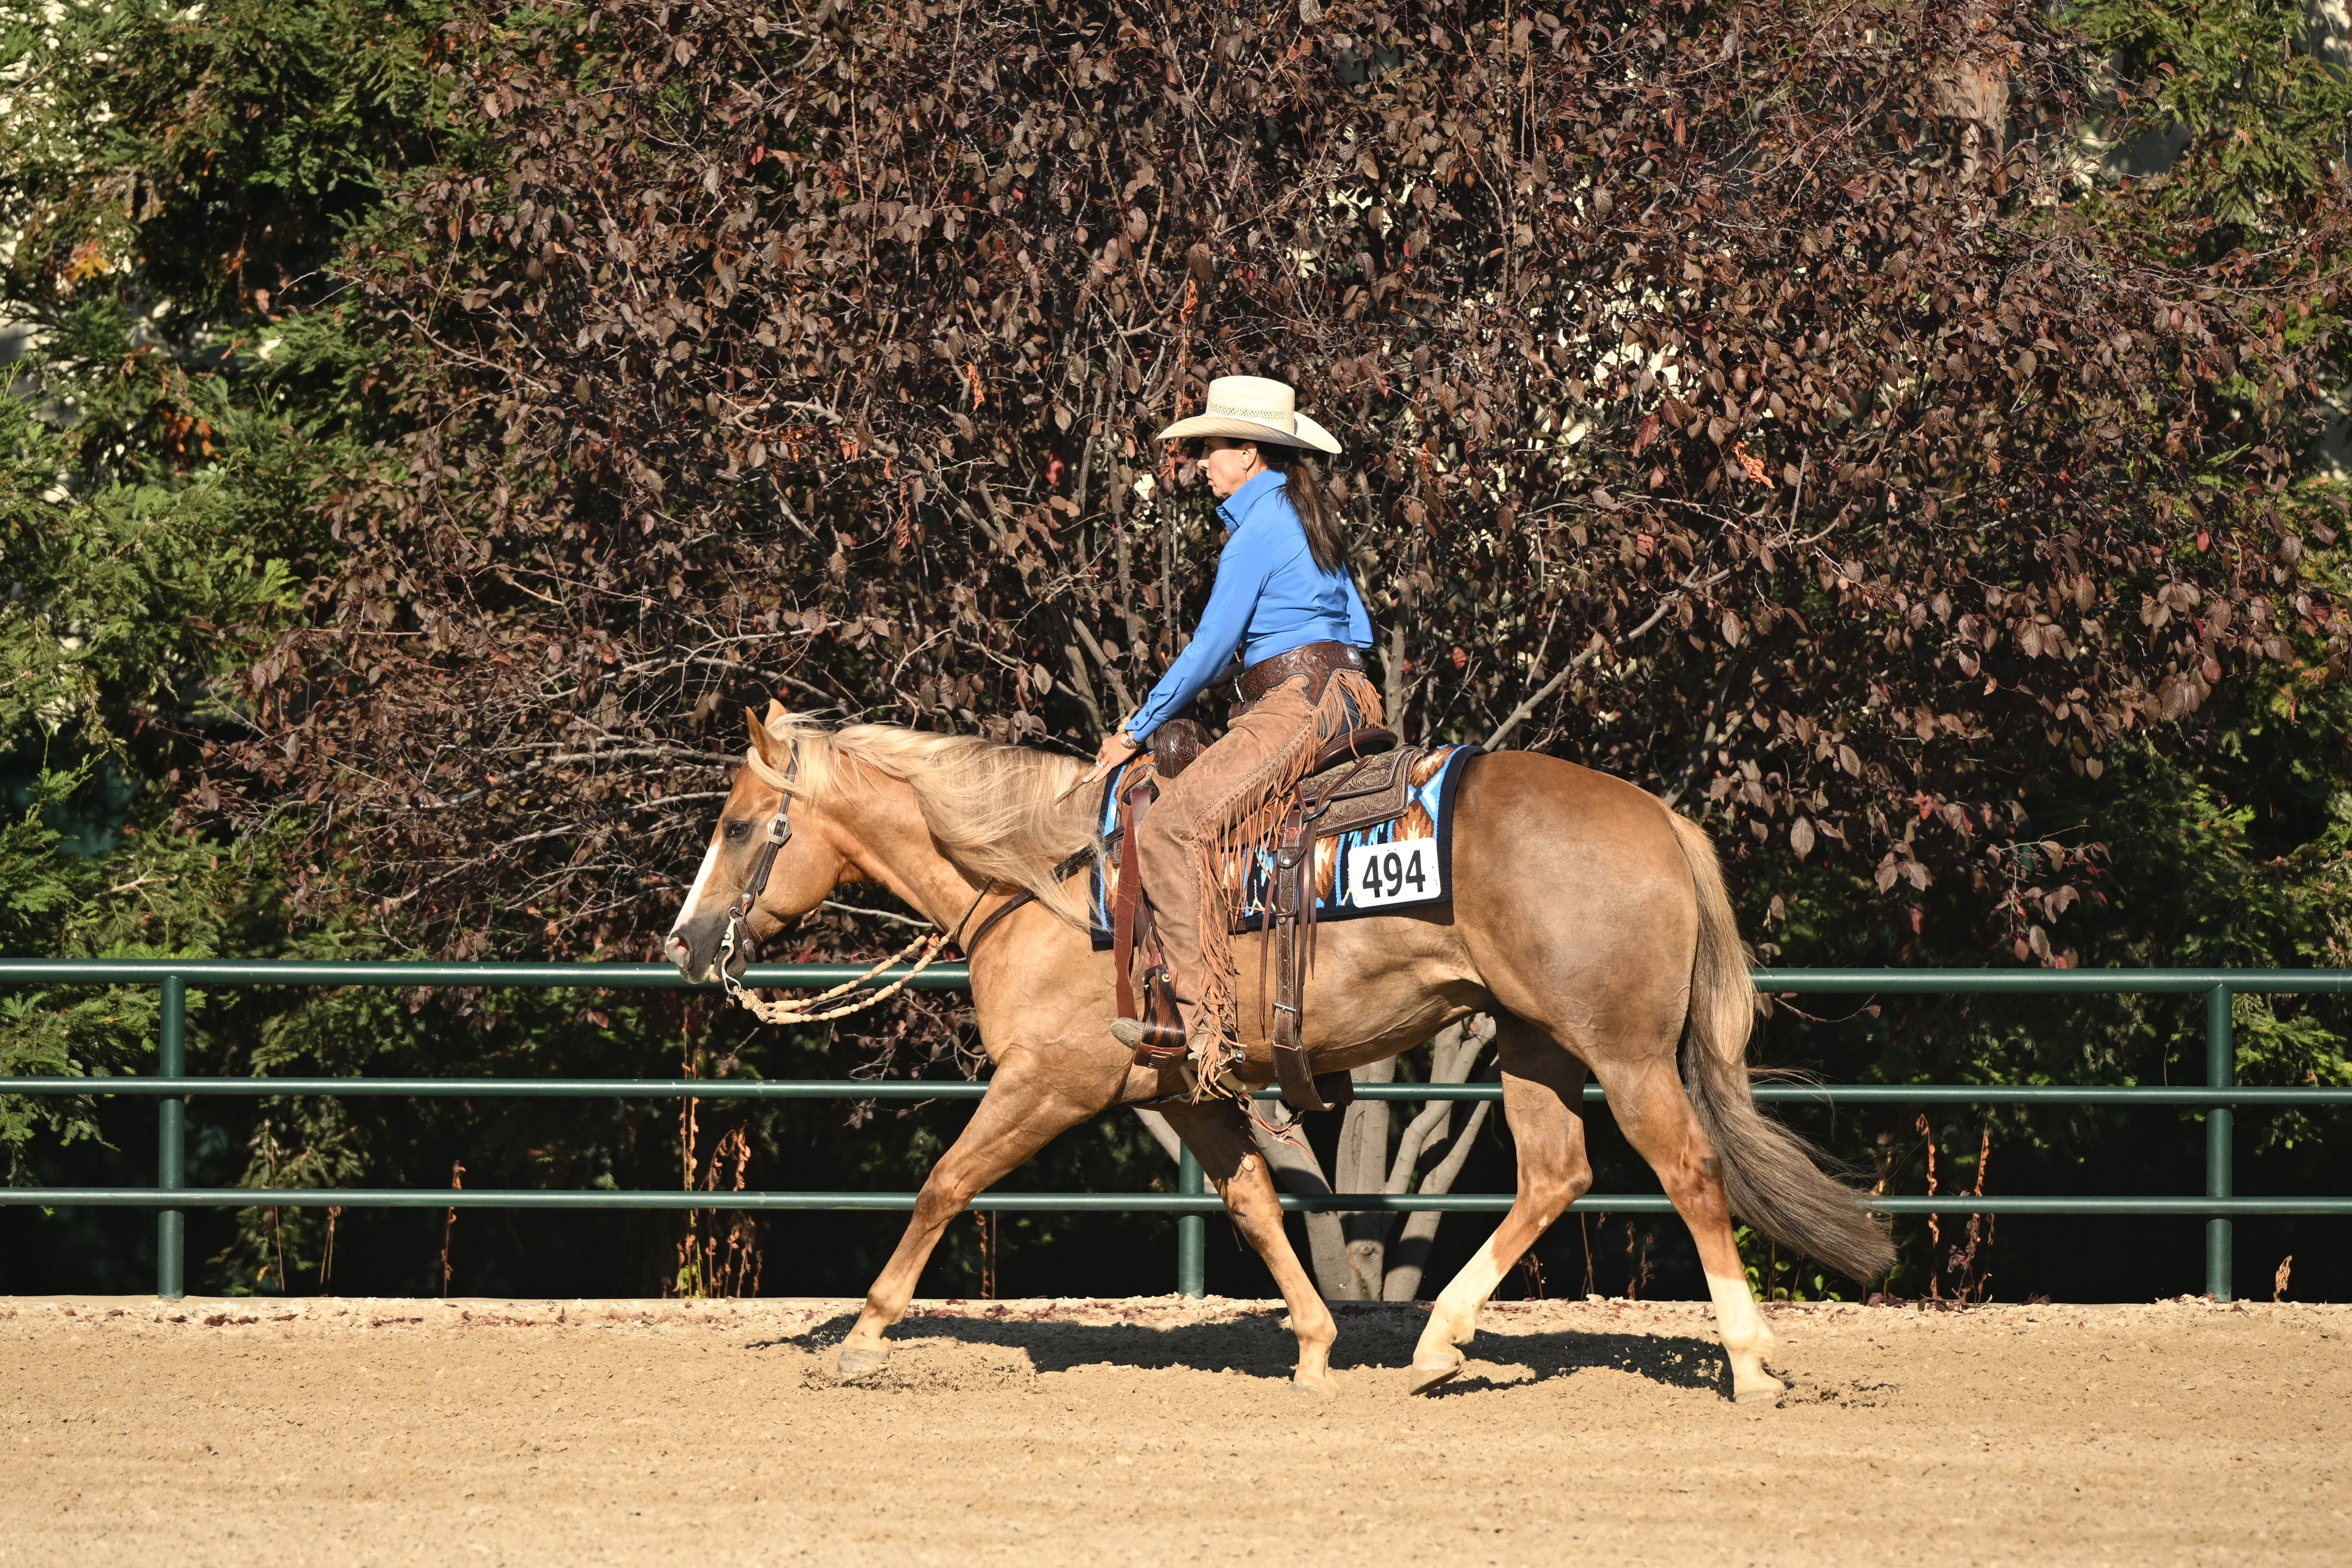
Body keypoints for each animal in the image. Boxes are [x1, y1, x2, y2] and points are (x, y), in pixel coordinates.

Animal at [665, 703, 1892, 1401]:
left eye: (738, 825)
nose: (684, 942)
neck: (1037, 879)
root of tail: (1659, 819)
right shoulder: (1188, 1094)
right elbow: (1256, 1203)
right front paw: (1310, 1345)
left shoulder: (1049, 1082)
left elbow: (944, 1183)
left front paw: (865, 1336)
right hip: (1534, 1044)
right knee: (1556, 1173)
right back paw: (1439, 1342)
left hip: (1625, 1054)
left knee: (1687, 1171)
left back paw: (1747, 1360)